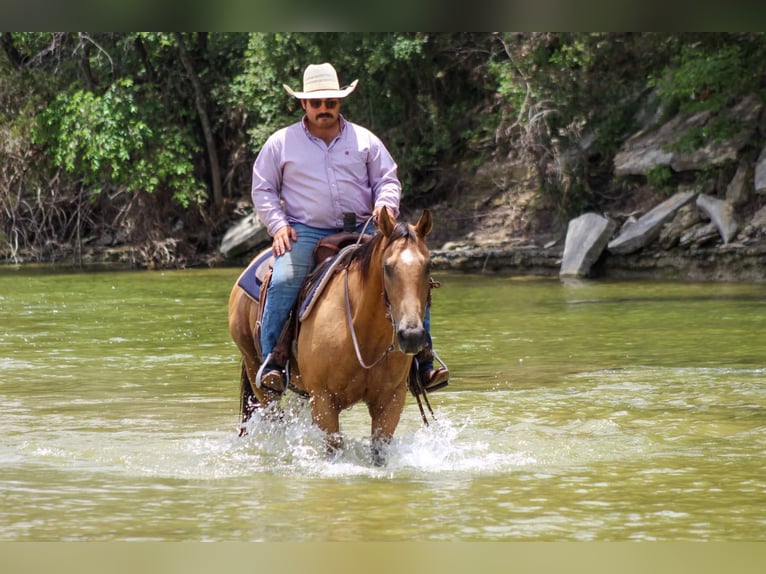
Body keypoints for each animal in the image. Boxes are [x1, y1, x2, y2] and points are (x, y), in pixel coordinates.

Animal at [226, 209, 438, 466]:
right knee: (276, 422)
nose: (412, 336)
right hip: (260, 379)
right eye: (387, 267)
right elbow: (334, 447)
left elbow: (379, 450)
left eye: (428, 266)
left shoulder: (391, 400)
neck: (363, 336)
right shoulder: (323, 399)